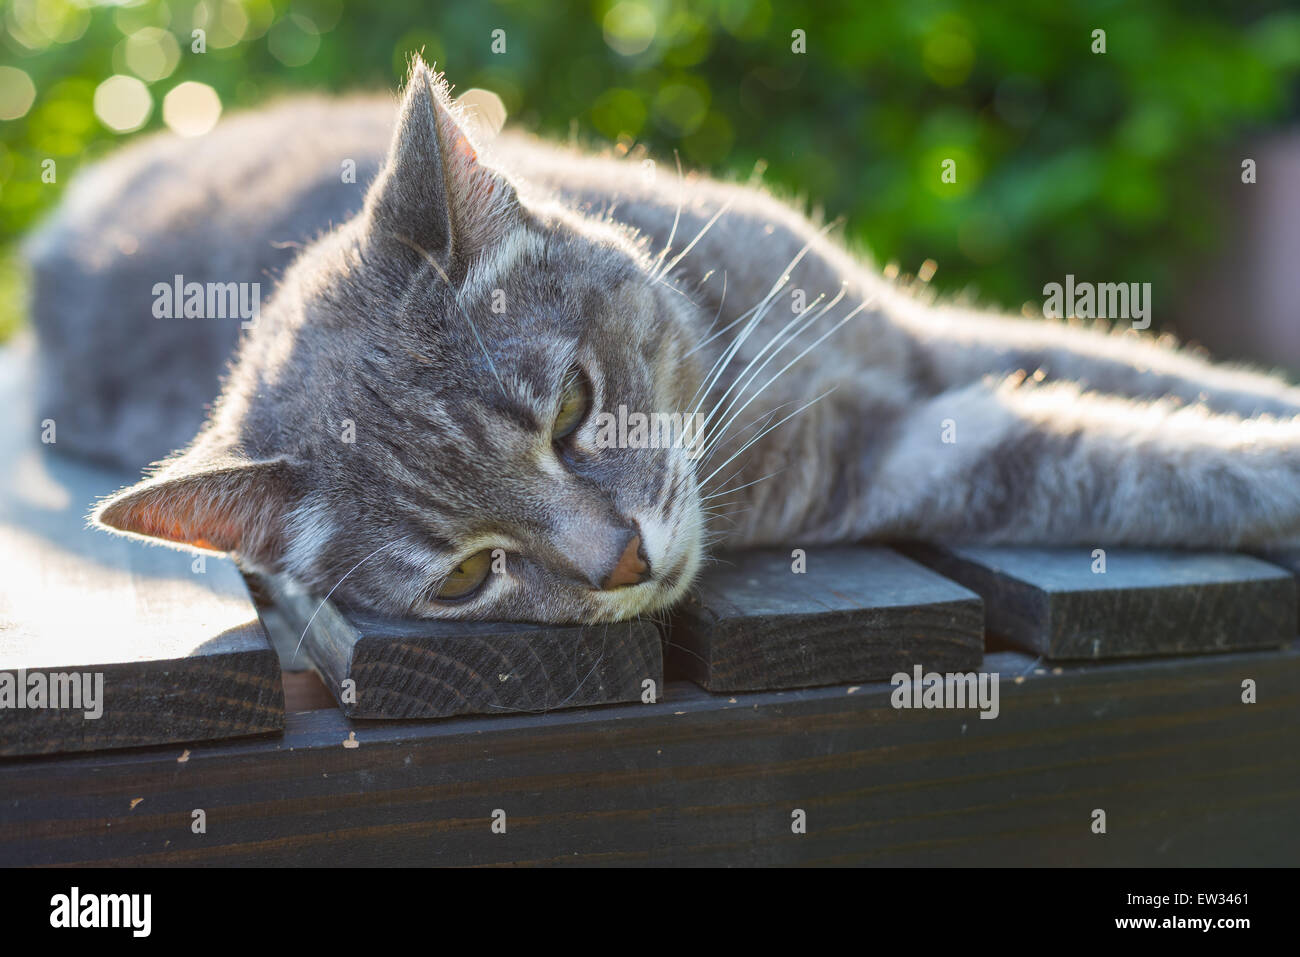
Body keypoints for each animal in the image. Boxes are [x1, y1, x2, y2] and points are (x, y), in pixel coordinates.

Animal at [22, 61, 1300, 629]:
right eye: (467, 576)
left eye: (571, 412)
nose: (621, 564)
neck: (728, 344)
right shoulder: (907, 461)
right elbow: (1149, 463)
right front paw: (1270, 465)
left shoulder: (919, 334)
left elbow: (1149, 373)